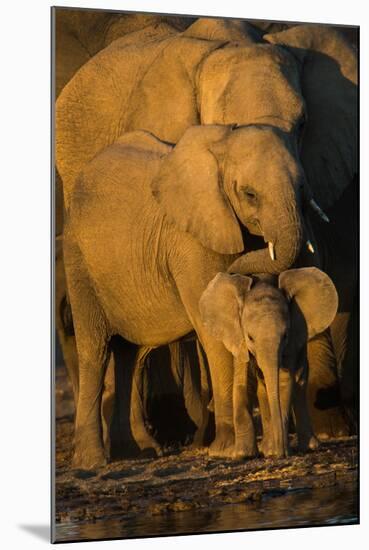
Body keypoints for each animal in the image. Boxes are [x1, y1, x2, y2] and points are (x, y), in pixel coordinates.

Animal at [198, 270, 336, 460]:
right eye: (250, 337)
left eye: (285, 336)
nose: (281, 453)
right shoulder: (239, 339)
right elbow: (243, 381)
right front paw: (243, 454)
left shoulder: (291, 343)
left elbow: (285, 380)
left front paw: (276, 451)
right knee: (263, 388)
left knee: (299, 384)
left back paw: (308, 447)